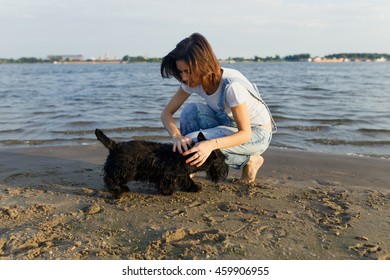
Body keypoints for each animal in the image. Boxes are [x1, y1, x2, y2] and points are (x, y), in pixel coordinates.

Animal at [95, 128, 229, 198]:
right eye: (222, 159)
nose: (226, 170)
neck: (189, 154)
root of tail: (115, 146)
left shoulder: (181, 174)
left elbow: (187, 181)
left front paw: (193, 188)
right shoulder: (167, 174)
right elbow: (167, 183)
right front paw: (167, 192)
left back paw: (122, 187)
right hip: (124, 169)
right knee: (110, 179)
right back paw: (117, 190)